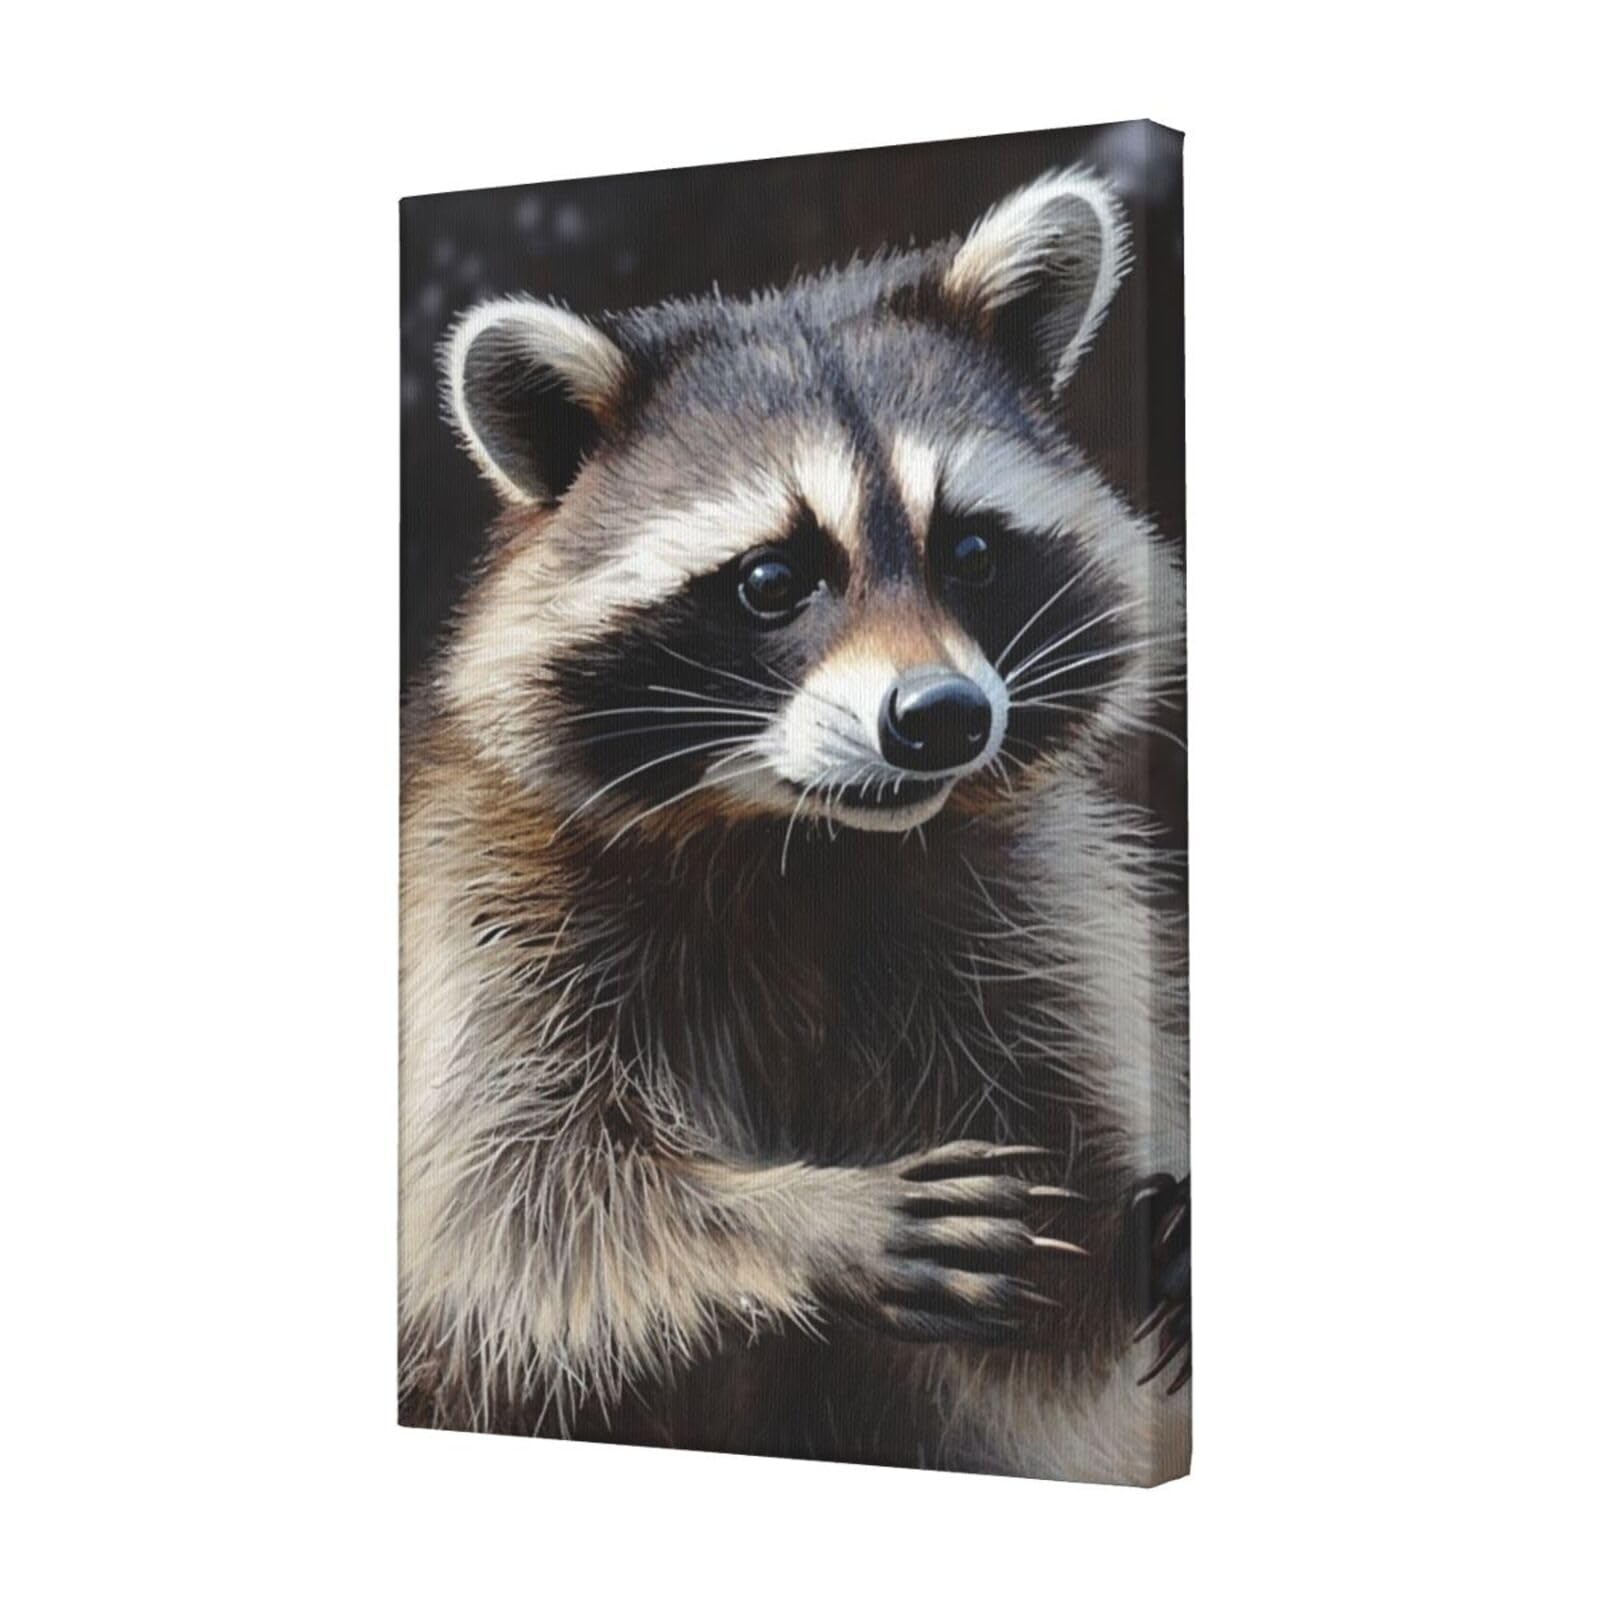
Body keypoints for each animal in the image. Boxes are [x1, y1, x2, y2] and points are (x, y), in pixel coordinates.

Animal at [400, 168, 1189, 1483]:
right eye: (772, 580)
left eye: (970, 550)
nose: (941, 718)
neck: (804, 845)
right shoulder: (487, 914)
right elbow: (503, 1199)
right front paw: (802, 1218)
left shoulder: (1031, 919)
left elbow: (1055, 1323)